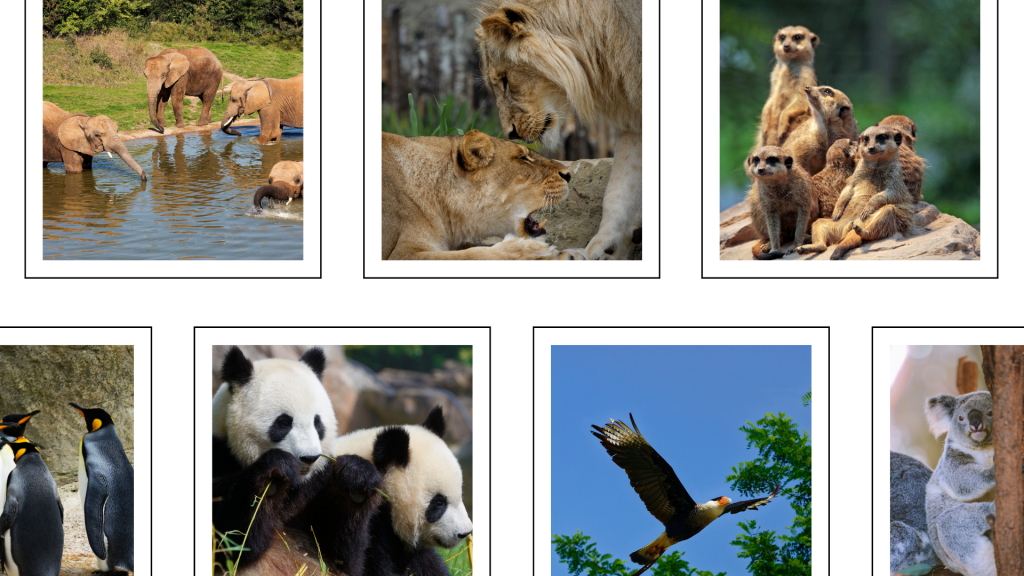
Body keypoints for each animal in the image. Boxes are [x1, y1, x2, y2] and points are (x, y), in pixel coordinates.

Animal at [211, 345, 385, 575]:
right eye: (283, 422)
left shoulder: (316, 486)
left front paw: (357, 477)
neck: (296, 486)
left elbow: (342, 559)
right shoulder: (217, 454)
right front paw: (276, 472)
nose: (309, 458)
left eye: (317, 423)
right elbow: (229, 540)